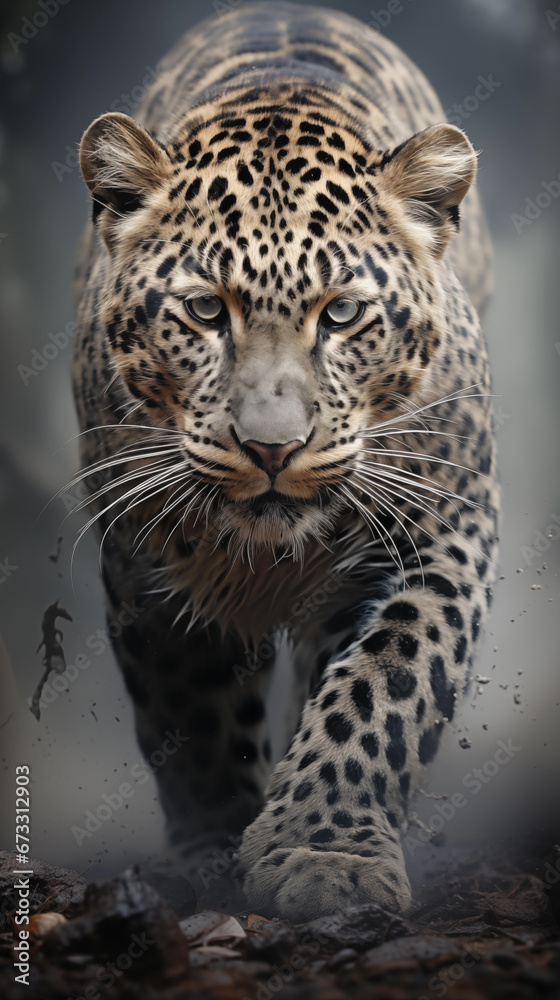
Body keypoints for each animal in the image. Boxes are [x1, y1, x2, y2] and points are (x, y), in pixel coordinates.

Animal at [72, 1, 499, 921]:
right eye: (204, 311)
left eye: (340, 314)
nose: (272, 447)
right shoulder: (143, 559)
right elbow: (189, 713)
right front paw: (211, 855)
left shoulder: (448, 524)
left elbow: (389, 680)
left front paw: (326, 850)